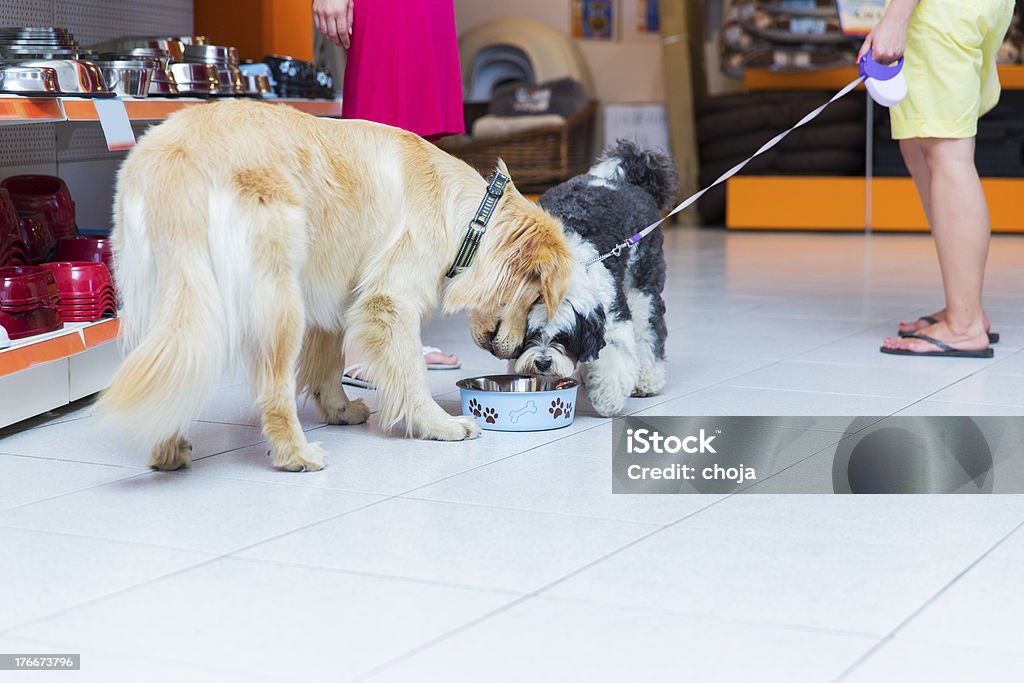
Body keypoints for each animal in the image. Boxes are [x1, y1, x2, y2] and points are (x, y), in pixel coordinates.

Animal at [516, 141, 675, 413]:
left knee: (648, 328)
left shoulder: (612, 313)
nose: (543, 363)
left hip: (643, 281)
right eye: (531, 335)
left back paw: (646, 381)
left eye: (564, 337)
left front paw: (608, 398)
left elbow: (613, 356)